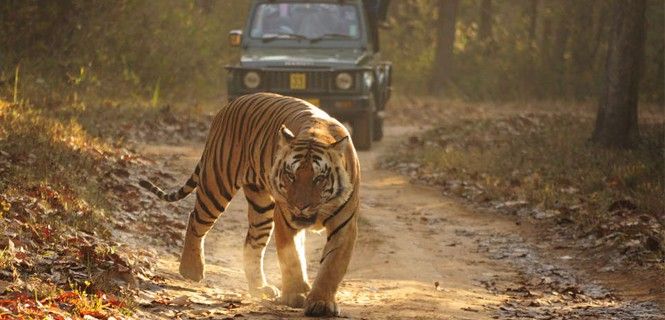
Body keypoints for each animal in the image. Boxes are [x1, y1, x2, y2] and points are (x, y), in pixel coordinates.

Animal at [138, 91, 360, 316]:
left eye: (319, 179)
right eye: (291, 175)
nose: (300, 206)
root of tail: (229, 106)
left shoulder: (344, 225)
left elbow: (331, 266)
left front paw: (320, 303)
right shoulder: (285, 218)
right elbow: (291, 259)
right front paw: (294, 295)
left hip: (261, 207)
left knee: (252, 243)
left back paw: (260, 287)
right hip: (217, 184)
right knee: (195, 219)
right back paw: (191, 270)